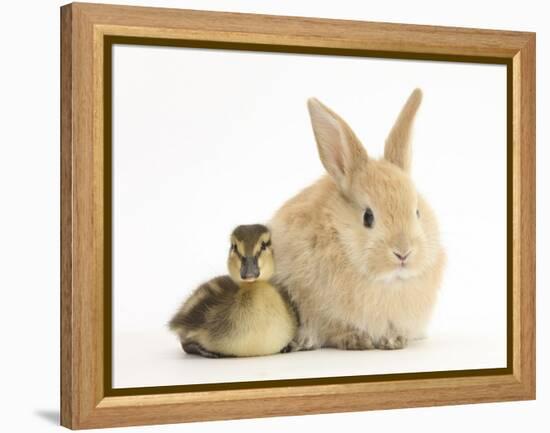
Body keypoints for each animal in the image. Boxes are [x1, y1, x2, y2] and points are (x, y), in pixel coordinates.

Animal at [270, 88, 446, 352]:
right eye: (368, 217)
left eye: (417, 212)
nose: (403, 253)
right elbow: (334, 329)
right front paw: (356, 339)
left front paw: (394, 340)